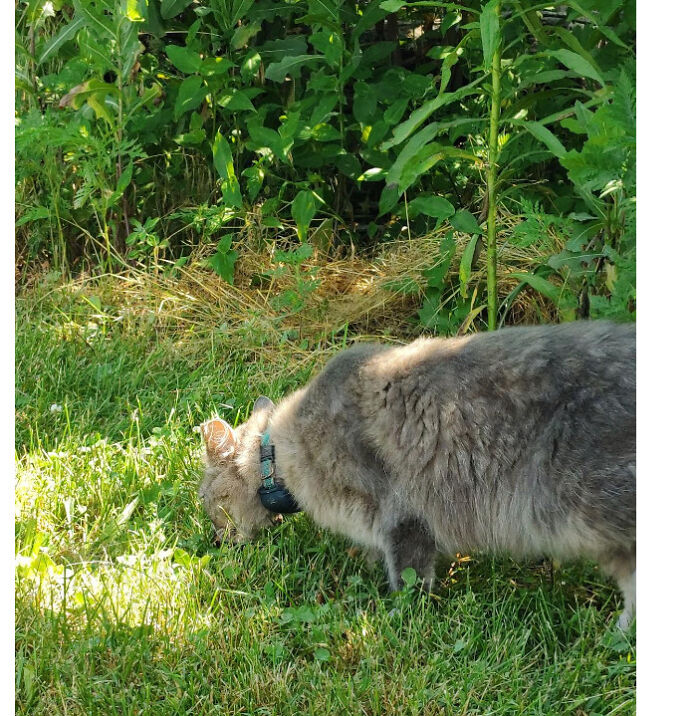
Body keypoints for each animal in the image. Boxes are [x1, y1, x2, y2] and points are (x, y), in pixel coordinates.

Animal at [197, 322, 636, 628]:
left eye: (209, 506)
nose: (217, 540)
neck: (280, 453)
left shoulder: (401, 516)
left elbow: (409, 581)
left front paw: (395, 617)